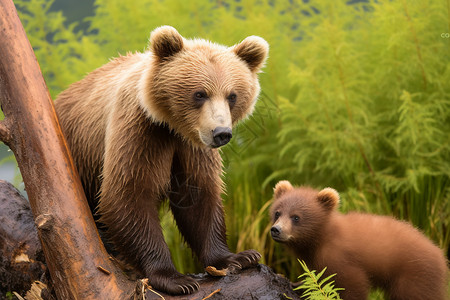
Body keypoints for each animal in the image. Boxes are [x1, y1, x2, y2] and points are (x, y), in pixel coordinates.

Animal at [55, 26, 268, 296]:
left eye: (232, 95)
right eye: (200, 94)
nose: (221, 133)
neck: (173, 126)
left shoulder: (191, 149)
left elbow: (198, 197)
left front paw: (239, 257)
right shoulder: (141, 133)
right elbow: (128, 195)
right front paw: (176, 278)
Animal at [268, 180, 448, 300]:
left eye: (296, 217)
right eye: (277, 212)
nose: (276, 230)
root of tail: (440, 254)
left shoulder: (343, 259)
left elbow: (354, 286)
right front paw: (297, 284)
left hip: (414, 275)